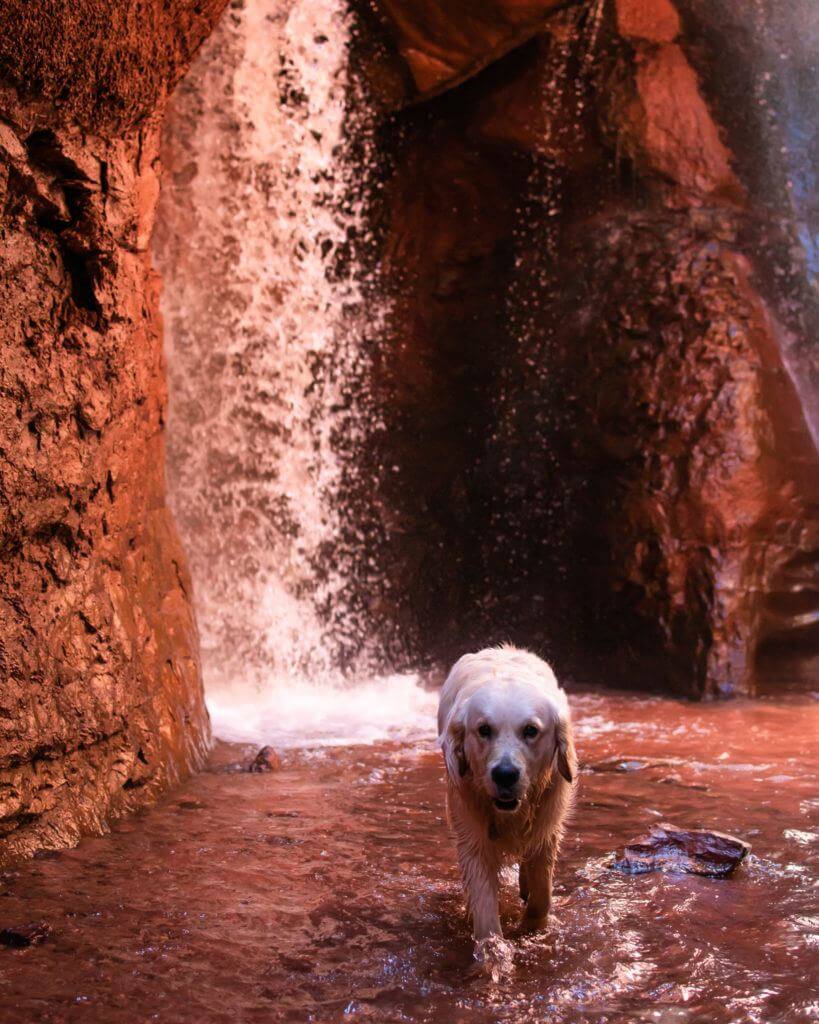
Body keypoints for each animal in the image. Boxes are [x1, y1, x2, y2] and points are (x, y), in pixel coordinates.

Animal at [438, 647, 573, 942]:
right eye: (484, 729)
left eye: (531, 730)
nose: (505, 774)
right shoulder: (473, 838)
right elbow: (486, 911)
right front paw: (493, 950)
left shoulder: (547, 828)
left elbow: (542, 894)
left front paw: (532, 927)